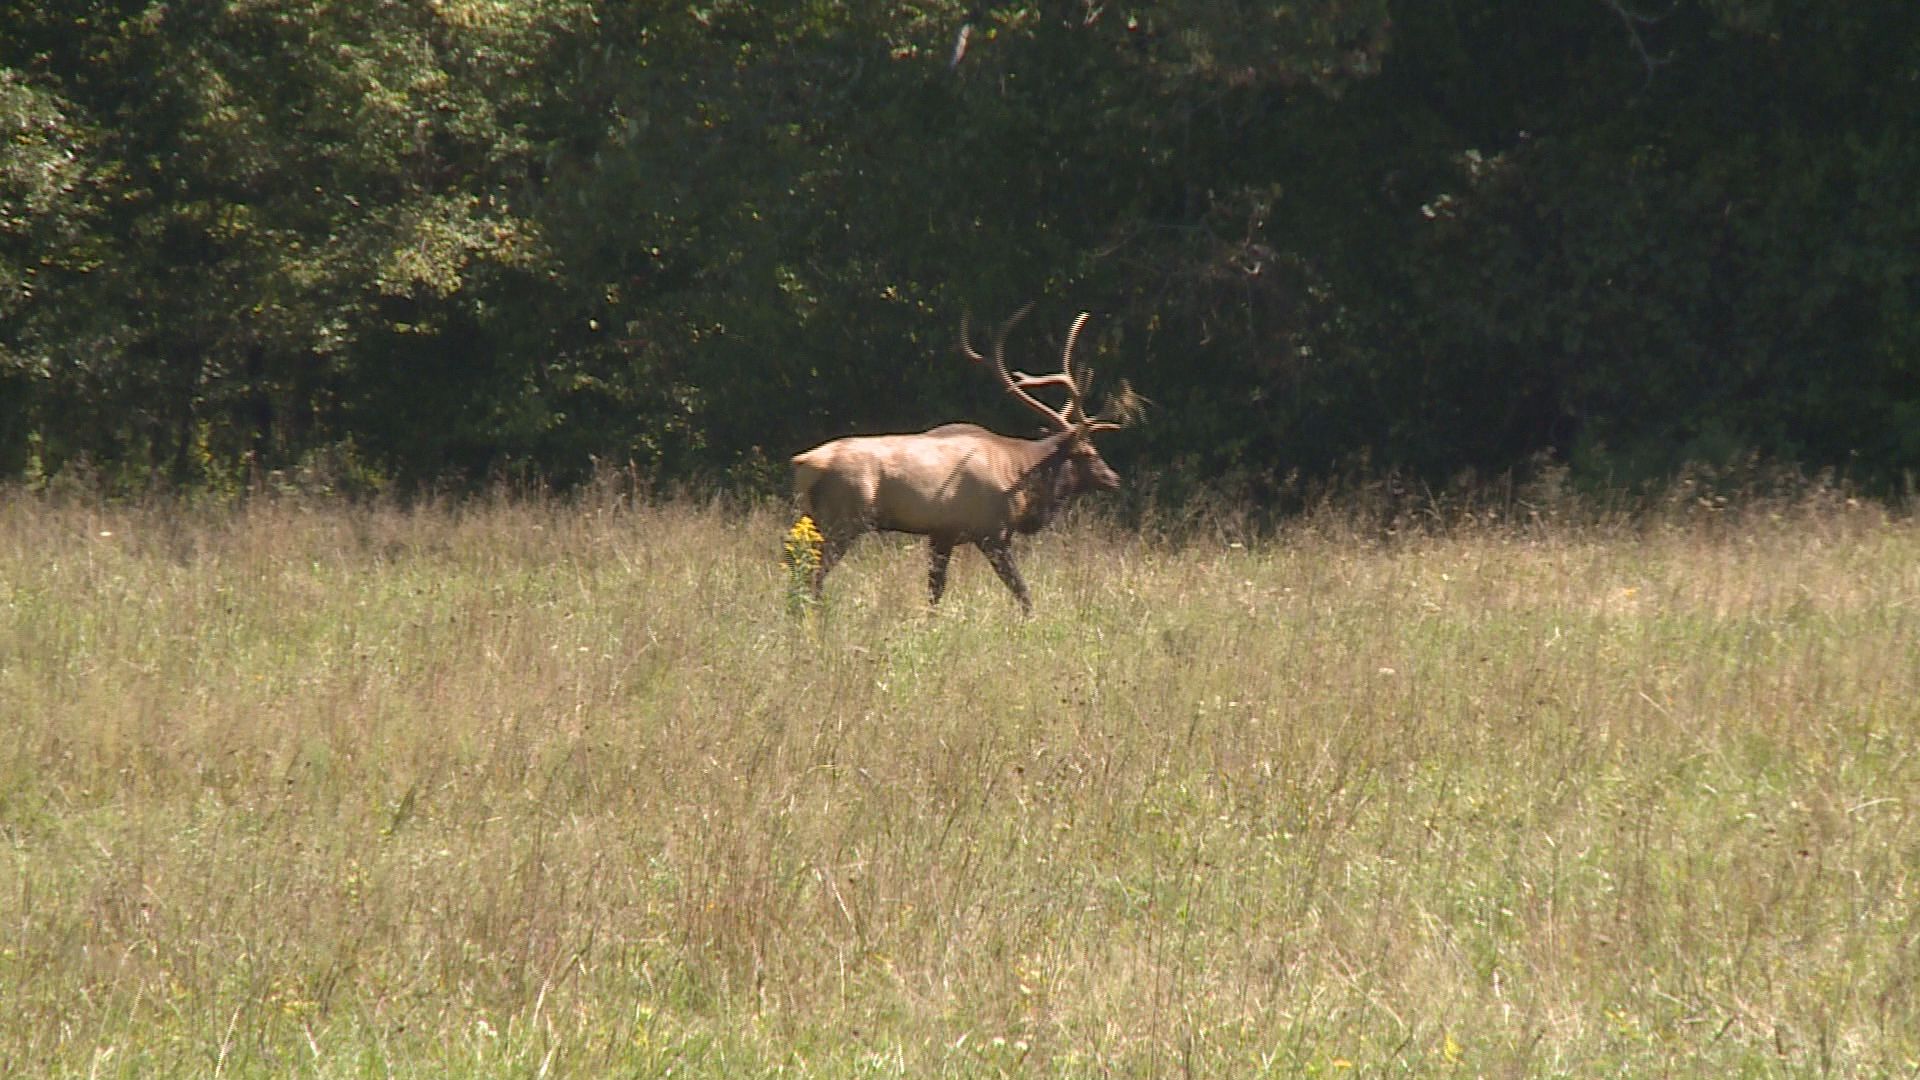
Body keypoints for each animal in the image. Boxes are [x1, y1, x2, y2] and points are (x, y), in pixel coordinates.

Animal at [791, 307, 1136, 611]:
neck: (1020, 474)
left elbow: (935, 592)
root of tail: (803, 464)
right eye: (1088, 452)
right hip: (843, 520)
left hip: (815, 520)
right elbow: (1022, 592)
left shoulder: (942, 533)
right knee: (812, 576)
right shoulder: (991, 533)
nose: (1114, 478)